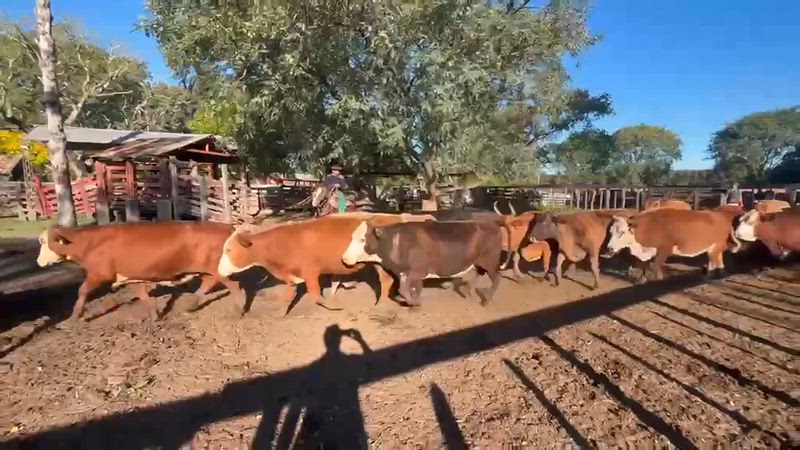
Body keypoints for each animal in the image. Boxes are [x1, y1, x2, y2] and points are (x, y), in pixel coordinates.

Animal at [35, 222, 244, 321]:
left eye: (43, 241)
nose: (38, 262)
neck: (90, 243)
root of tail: (226, 226)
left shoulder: (98, 274)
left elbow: (82, 290)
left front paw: (75, 315)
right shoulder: (131, 277)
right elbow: (143, 295)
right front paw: (154, 314)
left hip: (216, 269)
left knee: (234, 284)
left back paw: (239, 308)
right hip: (205, 270)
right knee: (208, 283)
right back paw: (191, 304)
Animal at [216, 213, 432, 307]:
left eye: (228, 249)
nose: (218, 271)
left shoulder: (311, 272)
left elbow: (315, 295)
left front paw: (333, 305)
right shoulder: (291, 275)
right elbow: (288, 295)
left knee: (386, 281)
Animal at [340, 218, 510, 306]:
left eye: (363, 239)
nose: (344, 258)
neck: (397, 241)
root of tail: (491, 223)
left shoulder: (416, 271)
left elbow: (405, 290)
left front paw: (415, 303)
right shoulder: (405, 274)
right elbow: (408, 289)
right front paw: (414, 301)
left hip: (490, 261)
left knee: (496, 277)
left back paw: (487, 300)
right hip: (478, 261)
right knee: (478, 274)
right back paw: (468, 292)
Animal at [604, 208, 742, 282]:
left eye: (622, 232)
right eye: (611, 232)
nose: (610, 248)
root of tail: (720, 214)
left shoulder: (664, 250)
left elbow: (655, 267)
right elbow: (644, 265)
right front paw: (642, 279)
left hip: (714, 248)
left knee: (713, 262)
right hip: (714, 248)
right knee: (719, 259)